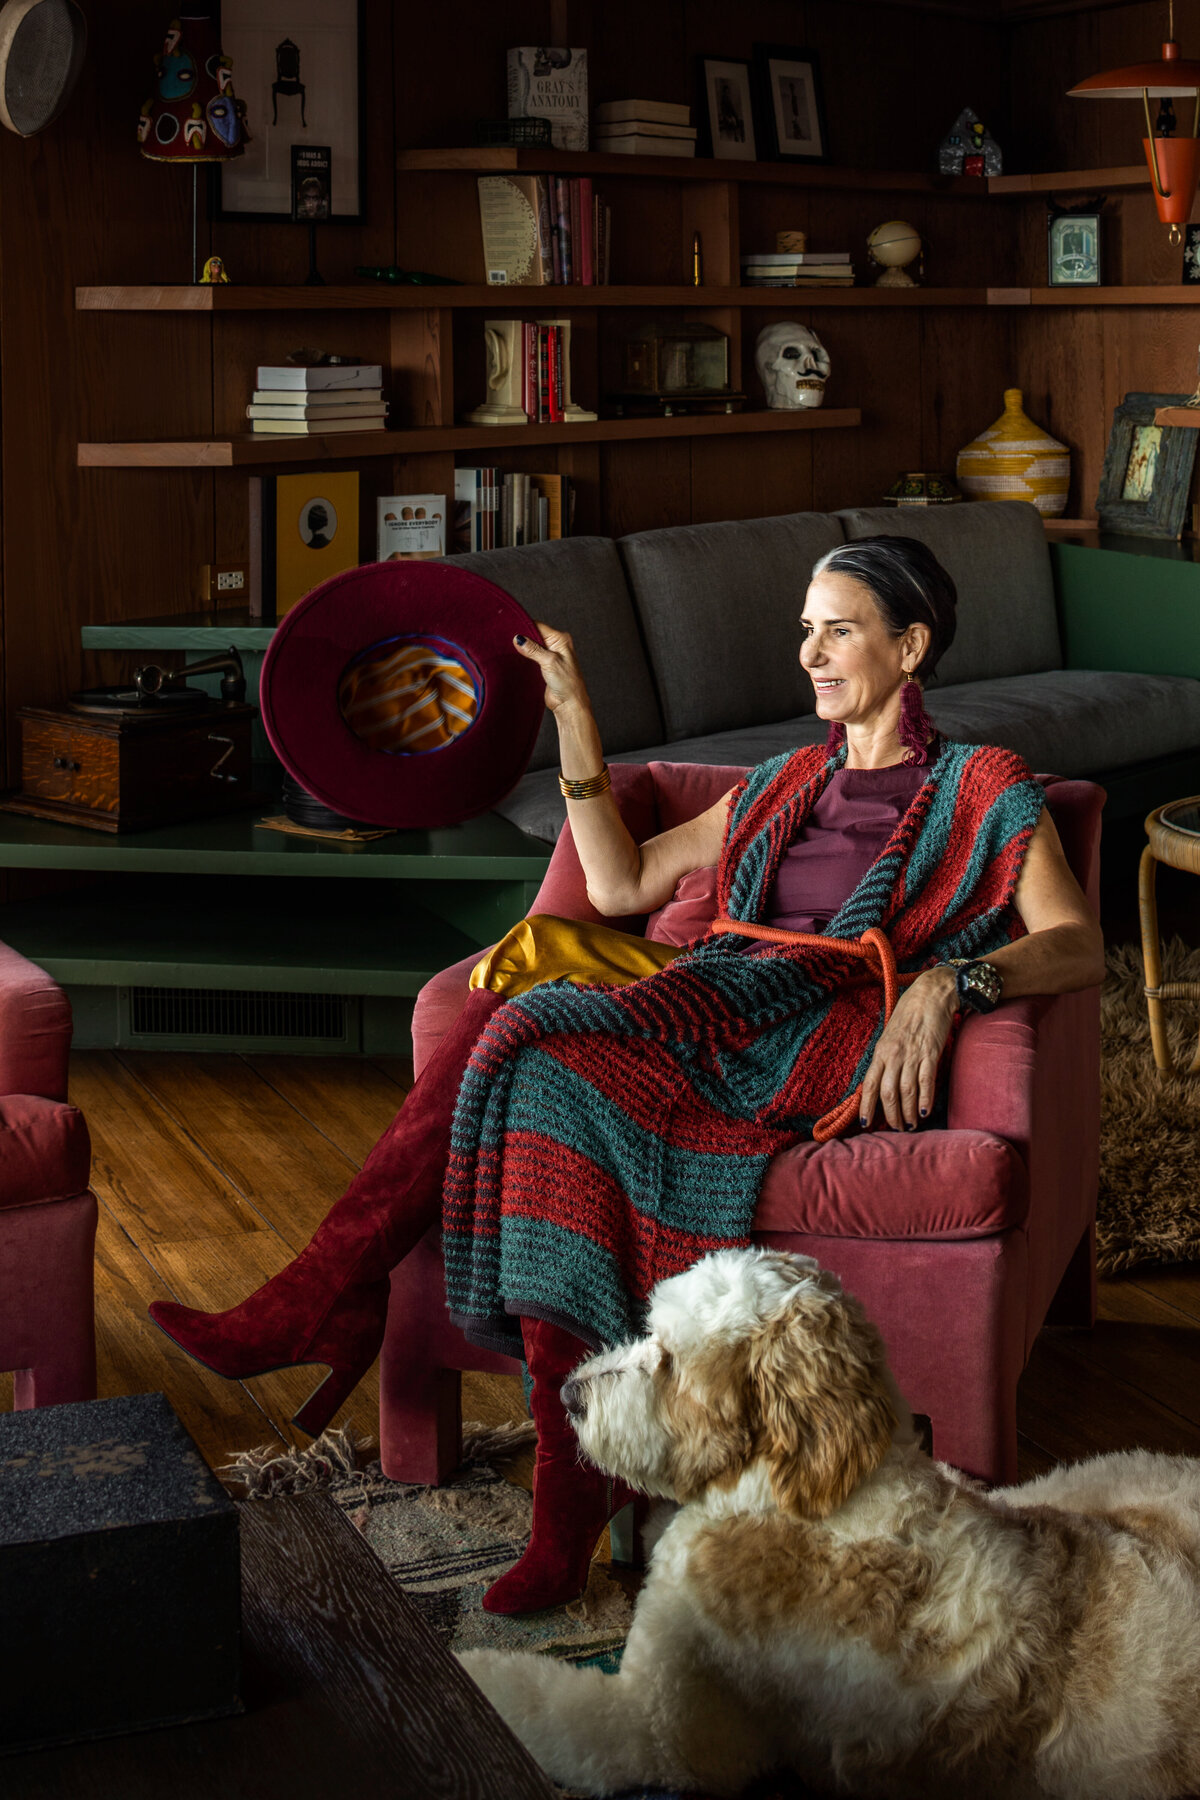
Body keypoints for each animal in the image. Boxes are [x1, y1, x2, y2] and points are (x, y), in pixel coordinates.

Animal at [464, 1252, 1200, 1800]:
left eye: (669, 1359)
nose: (569, 1393)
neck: (816, 1498)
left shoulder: (659, 1728)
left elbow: (533, 1697)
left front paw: (472, 1668)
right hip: (1074, 1483)